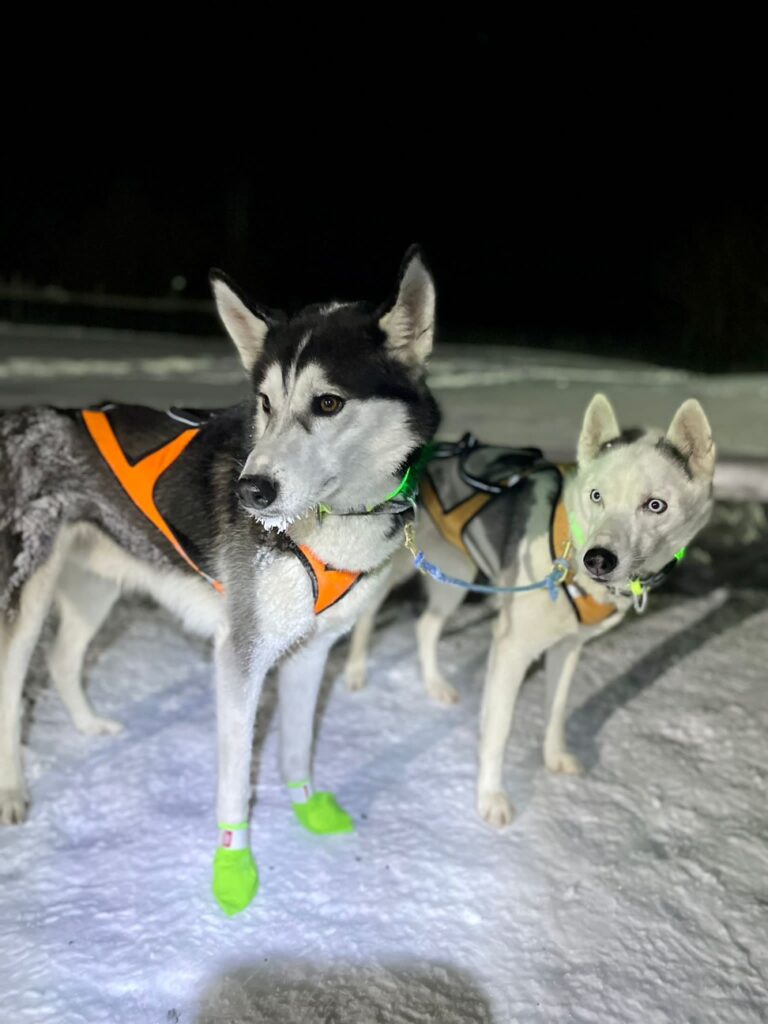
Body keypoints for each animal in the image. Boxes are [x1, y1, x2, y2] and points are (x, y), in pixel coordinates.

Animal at [0, 247, 440, 914]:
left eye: (328, 403)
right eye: (265, 402)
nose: (250, 491)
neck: (327, 525)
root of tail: (19, 419)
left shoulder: (312, 650)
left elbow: (296, 747)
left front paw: (307, 809)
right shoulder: (240, 657)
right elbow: (236, 784)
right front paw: (235, 870)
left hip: (97, 588)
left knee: (63, 660)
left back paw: (89, 727)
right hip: (27, 599)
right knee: (14, 682)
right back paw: (12, 793)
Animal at [344, 393, 716, 827]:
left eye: (655, 505)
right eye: (597, 496)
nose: (598, 559)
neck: (570, 549)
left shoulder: (568, 648)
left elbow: (555, 709)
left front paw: (554, 757)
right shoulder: (512, 650)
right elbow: (498, 730)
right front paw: (491, 797)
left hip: (456, 578)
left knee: (426, 626)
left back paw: (435, 684)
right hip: (392, 572)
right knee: (366, 619)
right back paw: (355, 672)